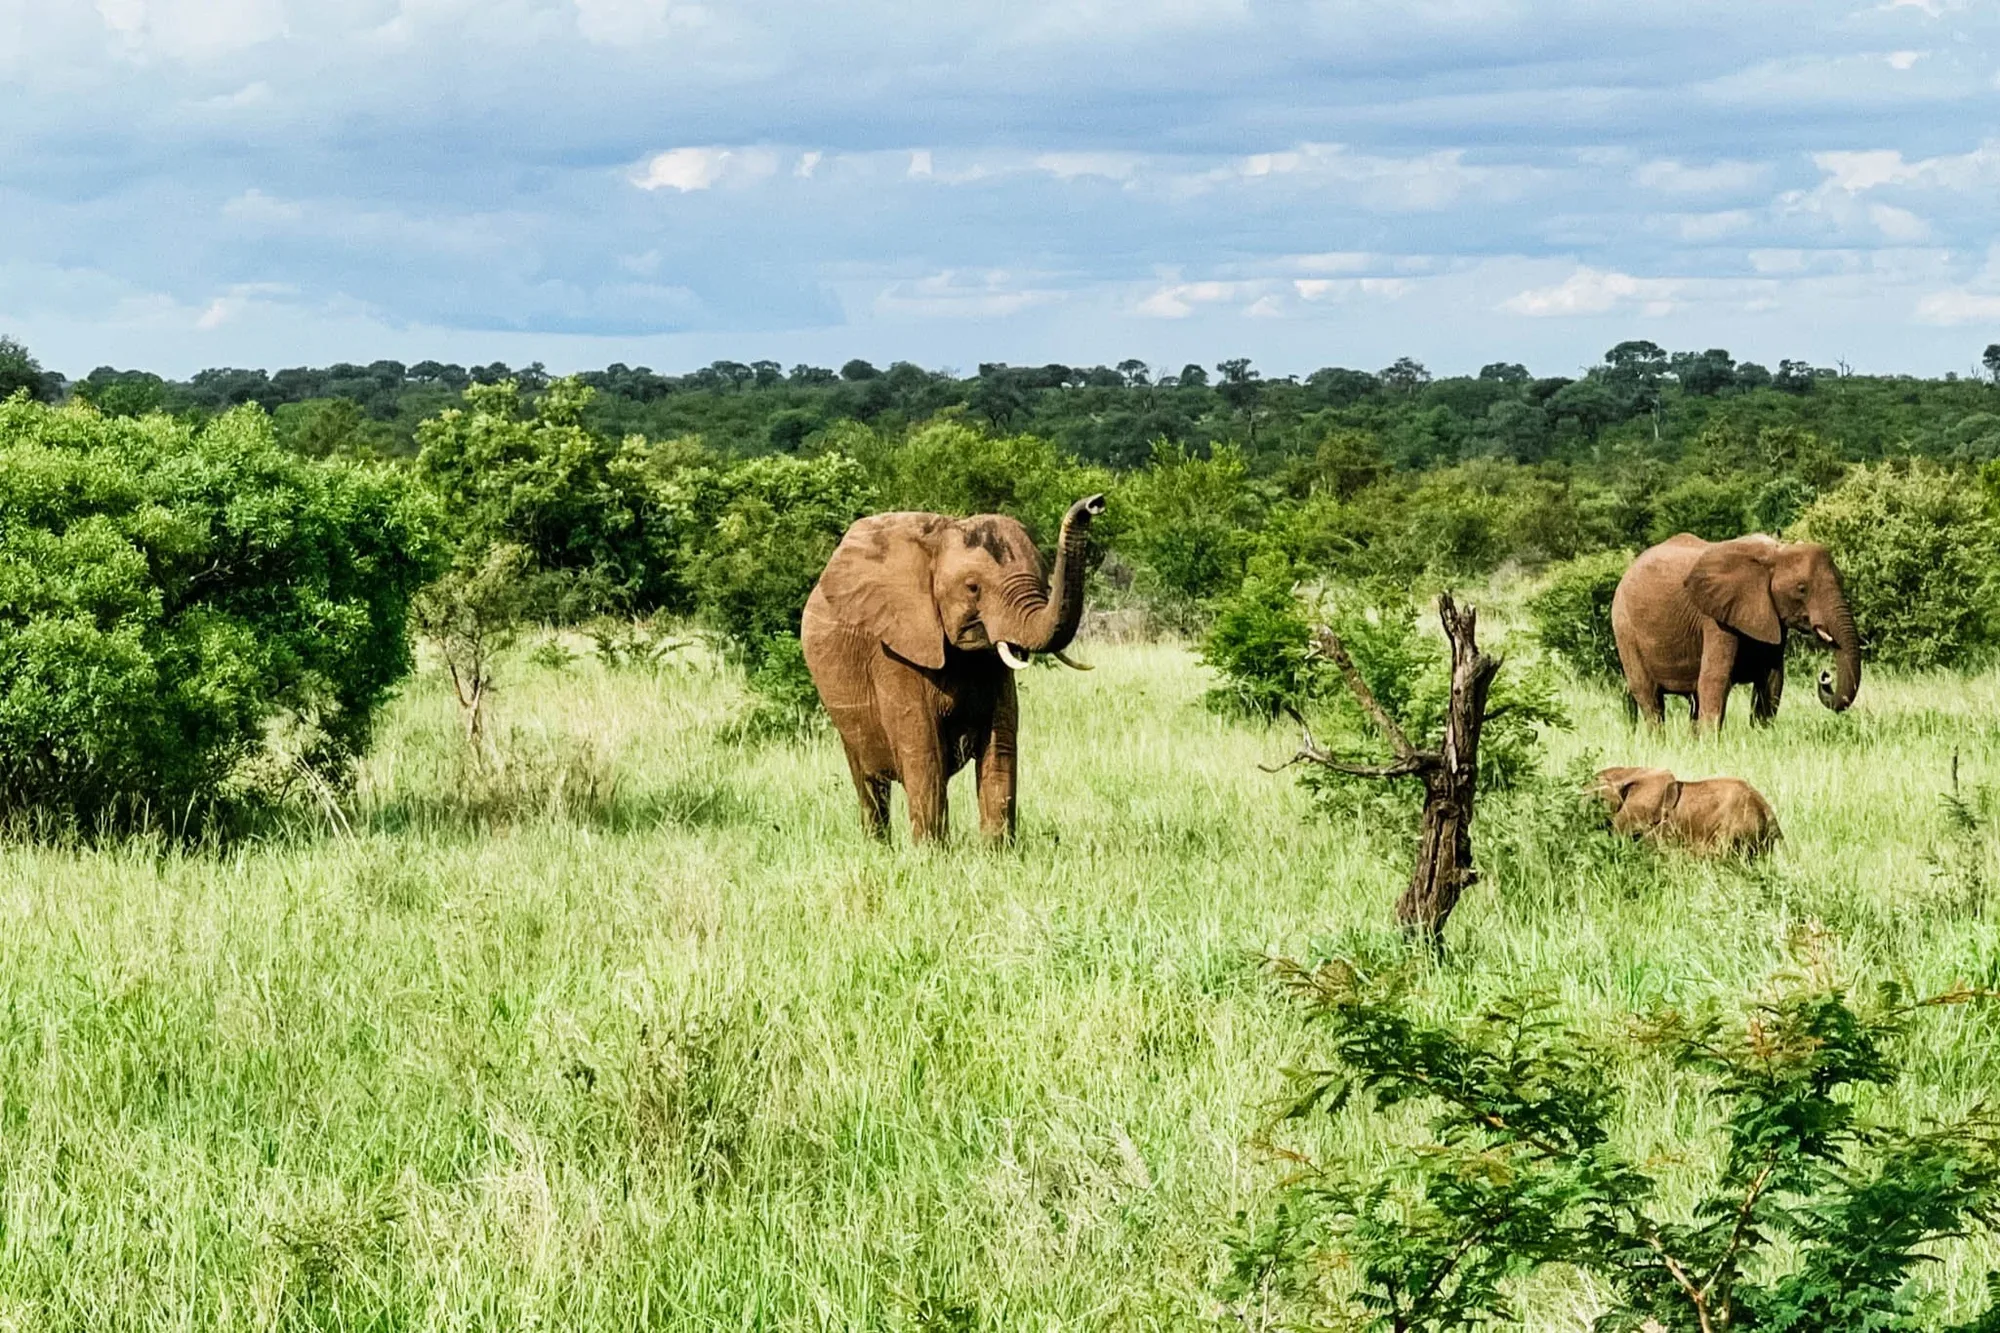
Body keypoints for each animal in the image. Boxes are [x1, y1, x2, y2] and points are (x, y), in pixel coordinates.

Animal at [801, 494, 1105, 844]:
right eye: (973, 588)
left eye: (1044, 579)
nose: (1095, 503)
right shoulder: (894, 650)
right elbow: (925, 753)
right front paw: (932, 853)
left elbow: (1000, 748)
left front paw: (997, 852)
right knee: (868, 781)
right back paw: (877, 847)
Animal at [1610, 533, 1860, 729]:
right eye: (1801, 589)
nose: (1825, 676)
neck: (1775, 554)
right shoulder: (1715, 618)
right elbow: (1715, 679)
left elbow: (1772, 680)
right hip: (1624, 627)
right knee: (1650, 699)